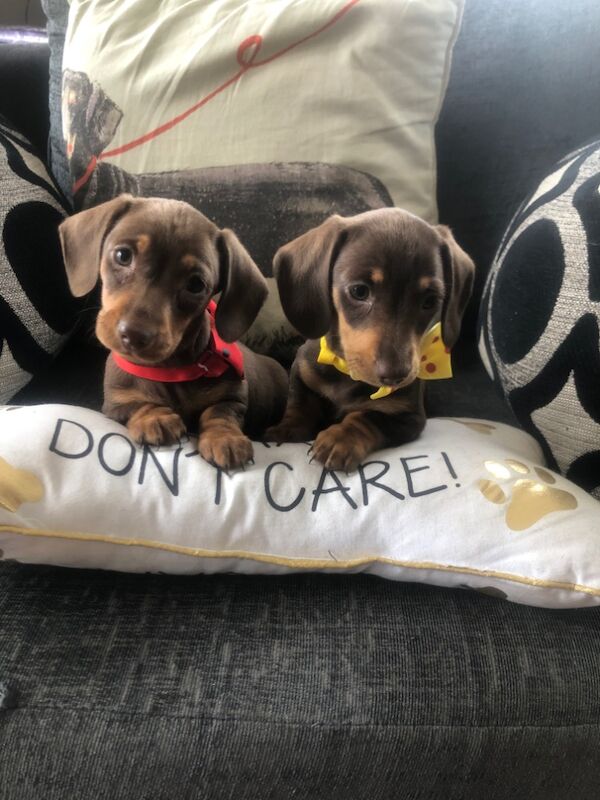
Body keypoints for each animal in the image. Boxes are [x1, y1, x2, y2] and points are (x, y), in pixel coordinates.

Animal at [58, 194, 288, 468]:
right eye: (123, 255)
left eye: (196, 285)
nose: (134, 335)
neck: (169, 371)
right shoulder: (115, 403)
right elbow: (136, 404)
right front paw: (154, 417)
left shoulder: (234, 397)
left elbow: (219, 412)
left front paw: (225, 438)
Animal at [266, 208, 474, 476]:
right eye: (359, 291)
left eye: (430, 302)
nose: (395, 377)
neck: (346, 372)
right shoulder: (301, 371)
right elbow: (300, 403)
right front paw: (287, 428)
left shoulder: (408, 416)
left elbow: (367, 418)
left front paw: (340, 440)